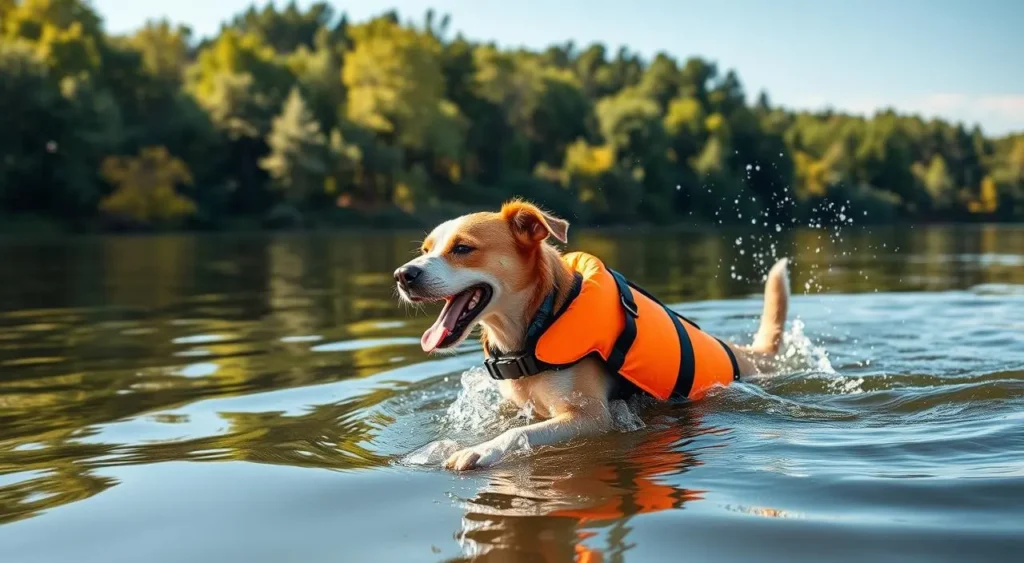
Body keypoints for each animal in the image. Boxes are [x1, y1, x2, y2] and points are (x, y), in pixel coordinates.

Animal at [393, 199, 790, 472]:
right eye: (426, 250)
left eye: (463, 248)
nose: (403, 274)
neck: (537, 323)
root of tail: (749, 353)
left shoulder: (590, 417)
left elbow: (517, 433)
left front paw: (480, 449)